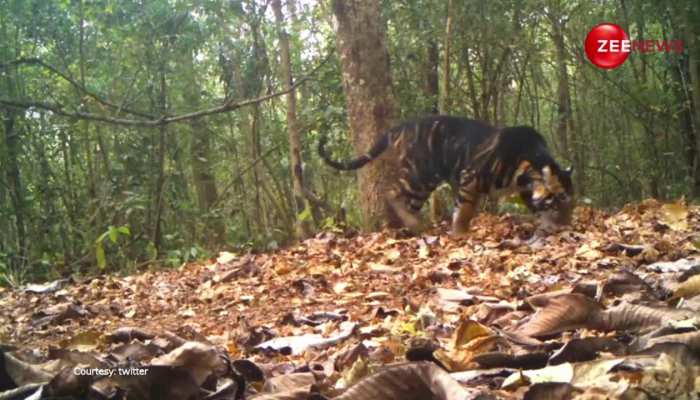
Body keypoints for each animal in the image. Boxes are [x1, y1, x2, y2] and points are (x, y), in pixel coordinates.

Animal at [318, 115, 576, 234]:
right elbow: (465, 209)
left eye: (572, 203)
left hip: (423, 182)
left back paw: (415, 228)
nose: (568, 225)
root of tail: (400, 126)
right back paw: (414, 224)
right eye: (560, 199)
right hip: (420, 175)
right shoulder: (470, 176)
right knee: (391, 192)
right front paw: (460, 233)